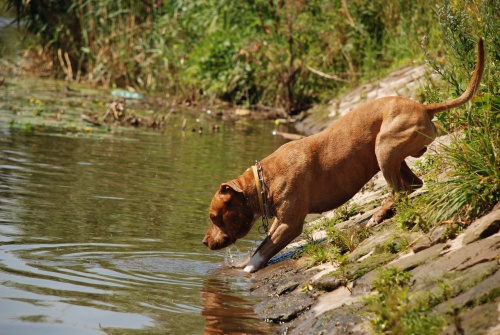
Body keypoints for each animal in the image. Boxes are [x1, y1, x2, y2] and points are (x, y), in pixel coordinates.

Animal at [202, 38, 484, 272]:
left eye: (215, 217)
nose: (204, 242)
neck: (262, 181)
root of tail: (423, 106)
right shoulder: (279, 220)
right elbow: (263, 244)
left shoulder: (290, 224)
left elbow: (264, 250)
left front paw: (247, 269)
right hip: (392, 154)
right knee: (413, 184)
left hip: (384, 147)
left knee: (398, 189)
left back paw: (379, 214)